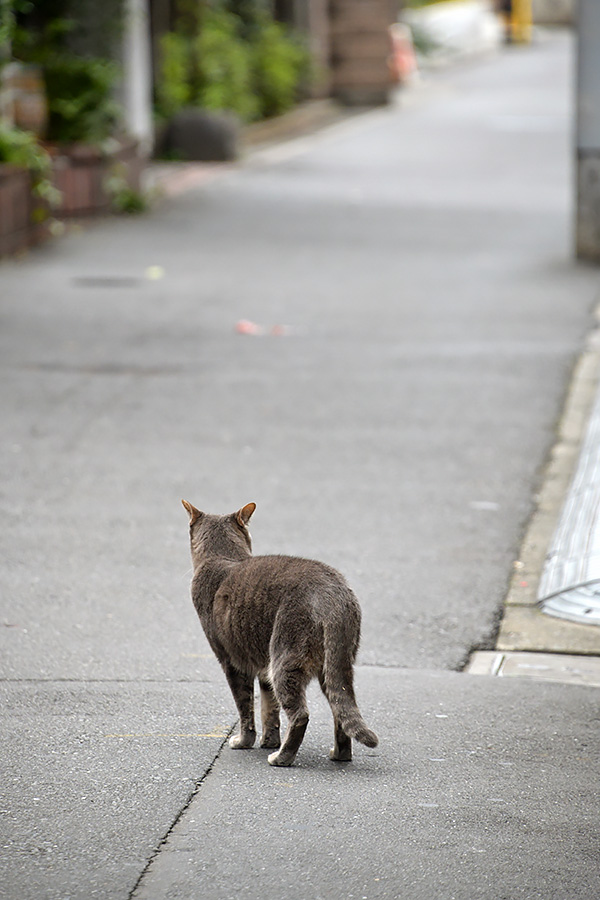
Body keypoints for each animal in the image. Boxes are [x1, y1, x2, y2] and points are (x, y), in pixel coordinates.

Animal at [183, 500, 380, 768]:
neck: (223, 557)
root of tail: (333, 594)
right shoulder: (262, 664)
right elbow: (269, 708)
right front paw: (269, 740)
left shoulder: (232, 661)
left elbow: (245, 707)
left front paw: (245, 742)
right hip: (332, 665)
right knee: (338, 708)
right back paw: (338, 754)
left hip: (285, 657)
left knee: (301, 714)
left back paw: (282, 757)